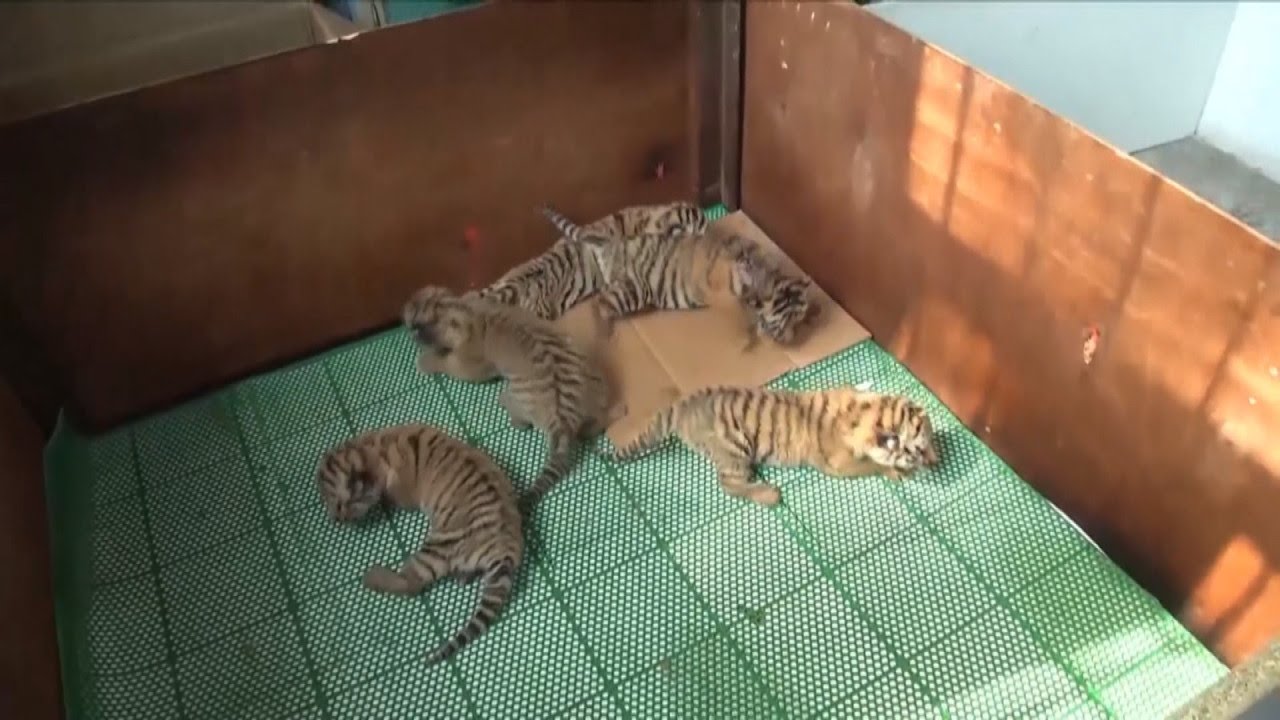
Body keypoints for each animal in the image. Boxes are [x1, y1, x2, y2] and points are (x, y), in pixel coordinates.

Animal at [316, 423, 523, 664]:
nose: (335, 520)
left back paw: (372, 576)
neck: (372, 447)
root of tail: (507, 547)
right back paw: (463, 576)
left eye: (339, 505)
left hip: (438, 546)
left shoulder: (403, 489)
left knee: (410, 584)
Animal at [402, 285, 623, 508]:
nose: (405, 314)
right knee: (595, 423)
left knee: (522, 421)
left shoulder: (469, 366)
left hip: (521, 396)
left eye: (419, 326)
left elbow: (446, 363)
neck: (464, 309)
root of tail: (564, 416)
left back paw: (505, 401)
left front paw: (425, 361)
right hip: (595, 381)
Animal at [540, 203, 814, 347]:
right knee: (601, 303)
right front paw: (746, 335)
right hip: (635, 290)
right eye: (786, 320)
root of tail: (613, 243)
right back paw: (604, 334)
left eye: (797, 319)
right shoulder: (722, 292)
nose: (791, 340)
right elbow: (735, 313)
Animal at [610, 385, 940, 506]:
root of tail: (683, 405)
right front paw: (897, 472)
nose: (936, 460)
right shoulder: (838, 464)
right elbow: (871, 465)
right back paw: (768, 494)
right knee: (728, 485)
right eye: (918, 450)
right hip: (734, 449)